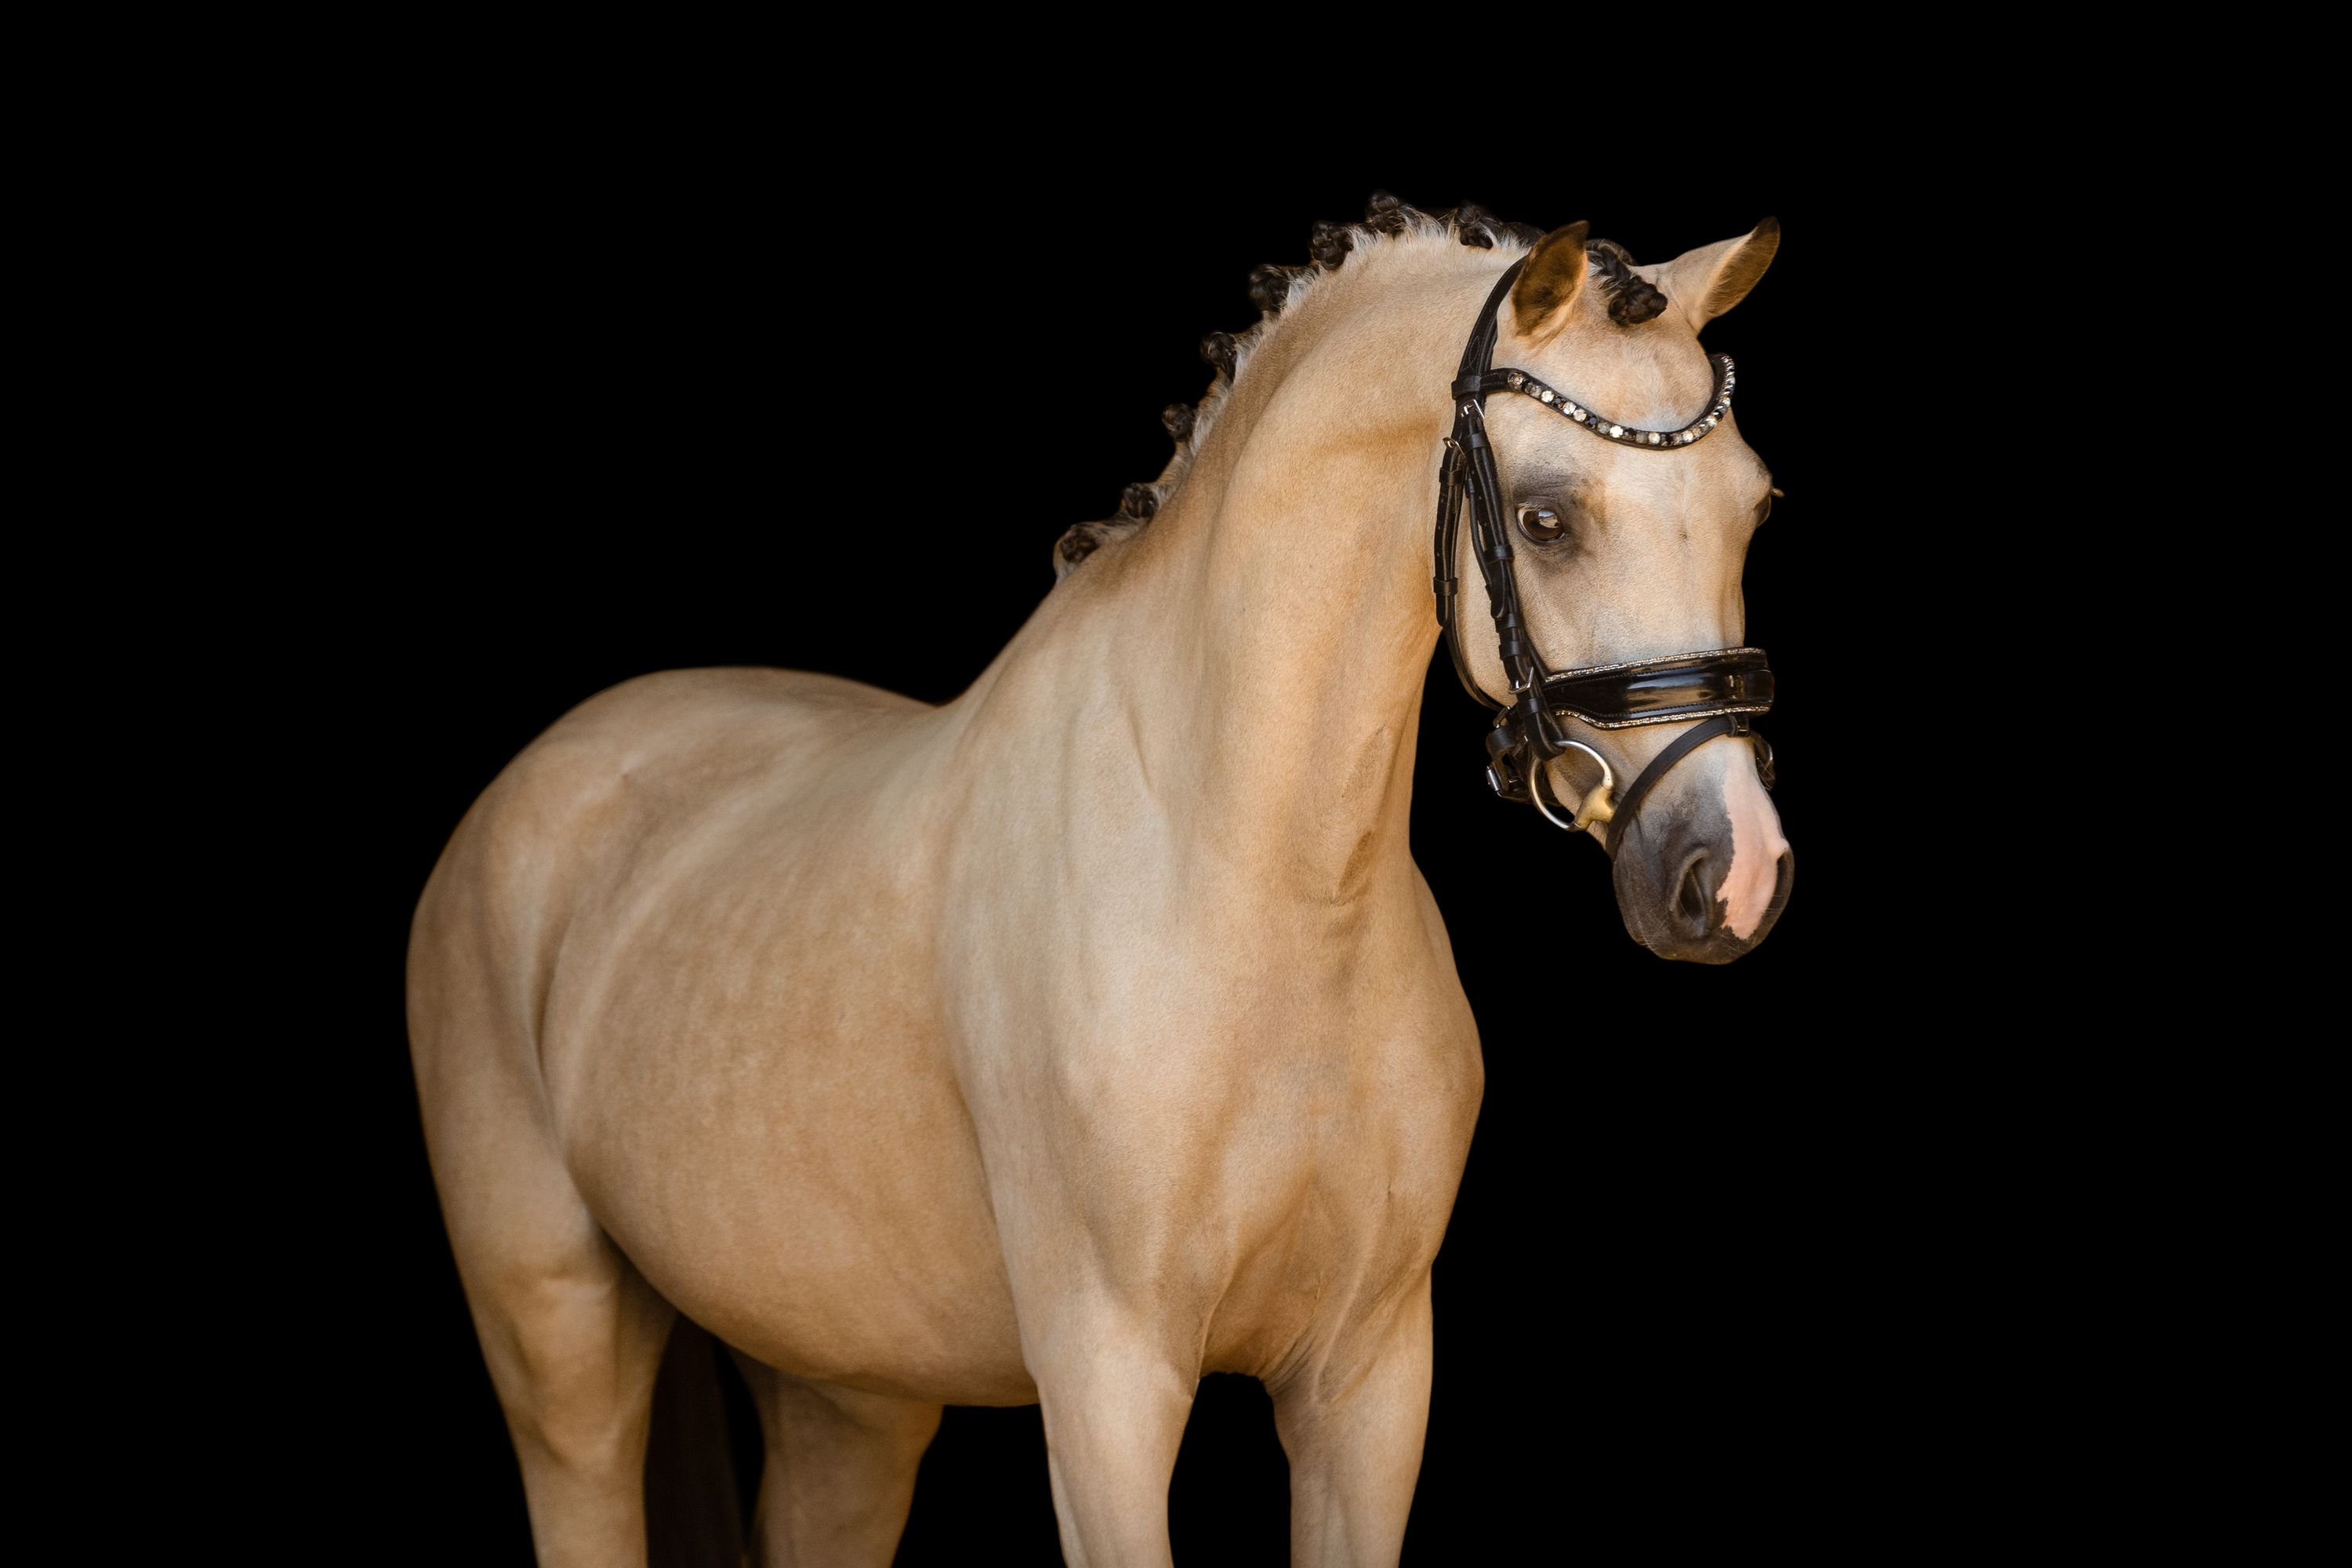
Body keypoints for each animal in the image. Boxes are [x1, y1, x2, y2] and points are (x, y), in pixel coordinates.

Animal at [407, 194, 1791, 1567]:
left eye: (1754, 506)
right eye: (1549, 518)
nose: (1731, 873)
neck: (1257, 894)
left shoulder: (1369, 1381)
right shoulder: (1107, 1390)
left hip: (843, 1400)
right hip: (560, 1351)